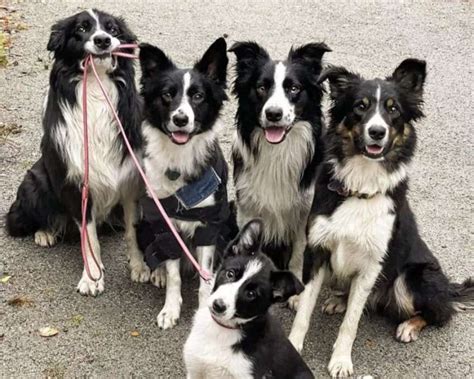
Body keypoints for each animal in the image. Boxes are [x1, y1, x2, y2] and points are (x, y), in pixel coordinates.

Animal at [5, 9, 146, 296]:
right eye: (81, 29)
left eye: (113, 29)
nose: (102, 40)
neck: (94, 88)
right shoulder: (76, 183)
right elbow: (89, 236)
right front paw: (92, 277)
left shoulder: (131, 180)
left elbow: (132, 230)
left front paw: (139, 267)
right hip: (34, 181)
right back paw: (45, 232)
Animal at [136, 37, 231, 330]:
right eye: (167, 95)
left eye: (198, 96)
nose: (180, 119)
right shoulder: (164, 223)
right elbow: (174, 273)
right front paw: (170, 308)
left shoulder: (209, 224)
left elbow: (204, 280)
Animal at [229, 40, 330, 284]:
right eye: (261, 87)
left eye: (294, 88)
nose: (274, 113)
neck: (277, 152)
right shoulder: (247, 206)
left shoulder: (304, 209)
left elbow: (299, 251)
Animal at [288, 59, 474, 378]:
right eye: (360, 107)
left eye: (393, 109)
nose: (377, 132)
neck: (361, 186)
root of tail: (449, 288)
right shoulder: (317, 249)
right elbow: (304, 312)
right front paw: (294, 345)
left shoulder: (372, 264)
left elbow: (351, 323)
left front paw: (341, 360)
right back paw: (339, 300)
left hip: (412, 278)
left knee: (440, 313)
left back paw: (409, 326)